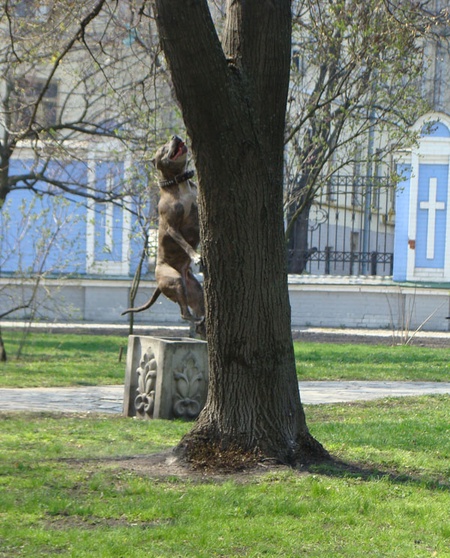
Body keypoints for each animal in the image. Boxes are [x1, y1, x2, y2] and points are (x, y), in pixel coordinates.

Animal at [123, 137, 207, 336]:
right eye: (163, 148)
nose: (176, 136)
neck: (178, 183)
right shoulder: (172, 227)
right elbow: (185, 244)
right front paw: (195, 256)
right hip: (175, 281)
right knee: (184, 313)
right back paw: (196, 320)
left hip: (194, 289)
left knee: (195, 309)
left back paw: (203, 324)